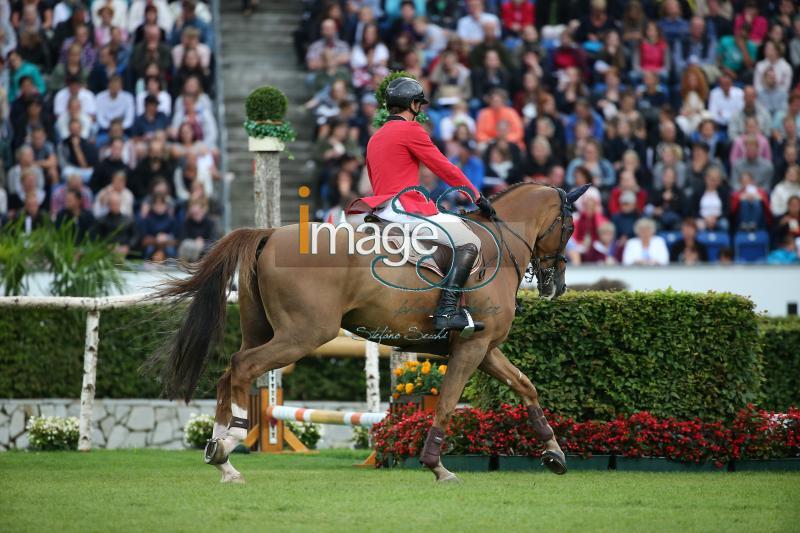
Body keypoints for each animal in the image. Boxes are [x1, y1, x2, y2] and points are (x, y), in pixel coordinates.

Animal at [148, 182, 588, 482]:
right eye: (569, 227)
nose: (556, 285)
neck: (499, 245)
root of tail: (270, 233)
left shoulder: (483, 348)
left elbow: (525, 385)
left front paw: (554, 453)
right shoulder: (472, 347)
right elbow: (447, 402)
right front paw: (436, 466)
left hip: (262, 330)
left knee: (231, 374)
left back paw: (223, 453)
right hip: (302, 334)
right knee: (241, 367)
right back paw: (227, 449)